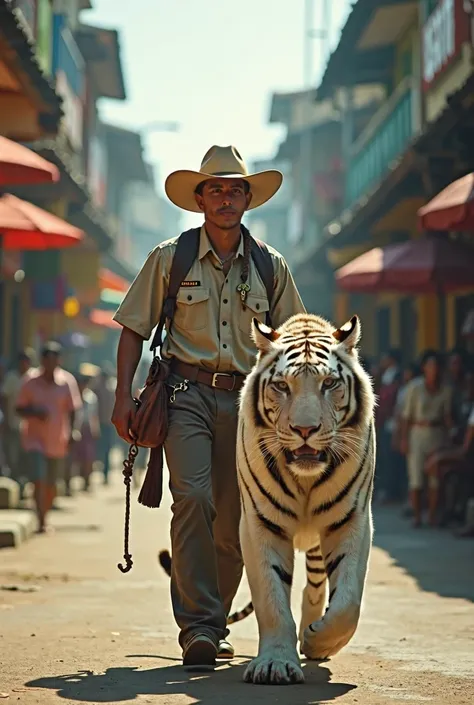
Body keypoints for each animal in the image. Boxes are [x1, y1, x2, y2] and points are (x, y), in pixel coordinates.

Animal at [239, 312, 376, 680]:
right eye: (282, 386)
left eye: (329, 384)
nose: (305, 430)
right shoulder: (261, 523)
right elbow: (271, 597)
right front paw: (274, 664)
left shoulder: (352, 520)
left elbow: (348, 603)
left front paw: (317, 640)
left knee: (316, 584)